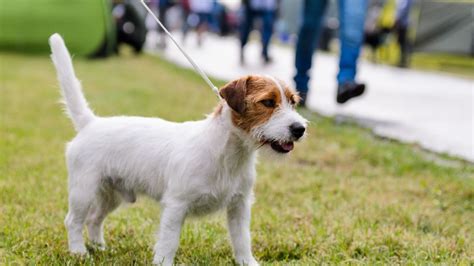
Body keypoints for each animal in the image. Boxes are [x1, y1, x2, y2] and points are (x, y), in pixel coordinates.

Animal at [49, 32, 308, 264]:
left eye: (293, 102)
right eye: (268, 102)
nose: (300, 129)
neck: (227, 153)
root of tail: (91, 123)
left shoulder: (239, 206)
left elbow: (242, 240)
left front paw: (247, 262)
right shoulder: (176, 206)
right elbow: (168, 243)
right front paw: (163, 261)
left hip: (111, 194)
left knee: (94, 219)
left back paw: (100, 248)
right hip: (84, 190)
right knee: (73, 220)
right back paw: (79, 252)